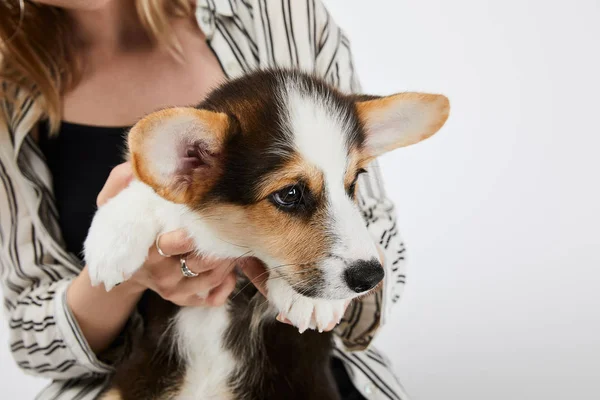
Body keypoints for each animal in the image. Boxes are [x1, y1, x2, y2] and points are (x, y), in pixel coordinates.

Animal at [85, 69, 450, 400]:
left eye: (353, 183)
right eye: (289, 194)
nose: (372, 277)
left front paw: (313, 303)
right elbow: (145, 188)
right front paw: (109, 242)